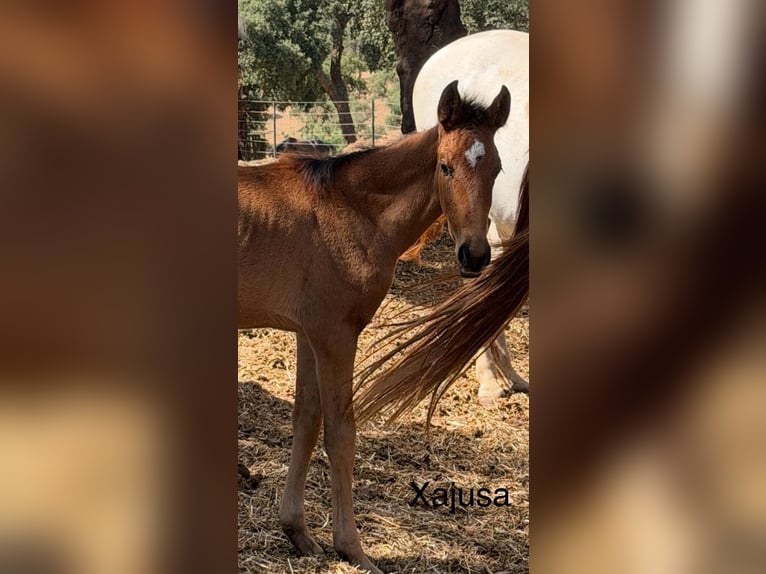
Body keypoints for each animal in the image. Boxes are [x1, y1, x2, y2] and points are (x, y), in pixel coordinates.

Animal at [238, 80, 510, 574]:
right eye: (445, 166)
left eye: (498, 168)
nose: (475, 255)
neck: (351, 211)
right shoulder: (335, 335)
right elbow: (341, 433)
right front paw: (353, 549)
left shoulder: (308, 334)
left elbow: (306, 420)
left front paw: (298, 533)